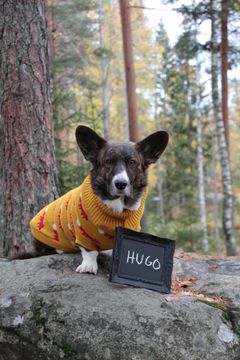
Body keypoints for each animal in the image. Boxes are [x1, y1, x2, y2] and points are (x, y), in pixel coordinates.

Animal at [30, 125, 169, 274]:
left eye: (132, 162)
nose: (120, 184)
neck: (118, 205)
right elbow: (89, 251)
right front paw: (88, 266)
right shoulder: (83, 234)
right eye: (108, 161)